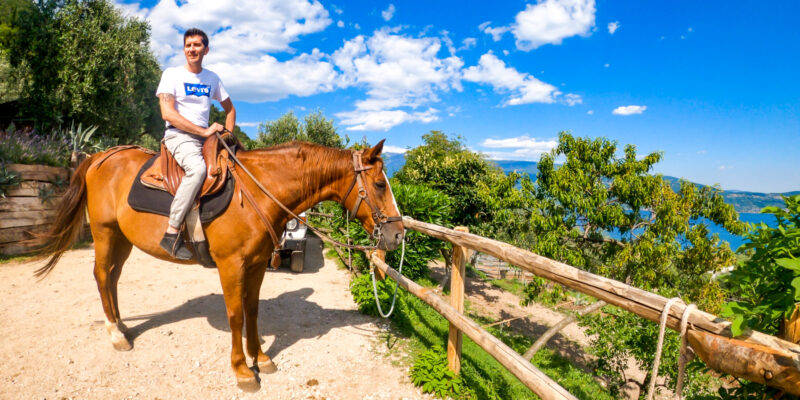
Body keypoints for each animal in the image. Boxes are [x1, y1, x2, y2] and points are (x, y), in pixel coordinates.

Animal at [35, 141, 404, 390]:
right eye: (380, 184)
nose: (398, 234)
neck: (259, 192)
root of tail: (99, 157)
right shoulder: (231, 265)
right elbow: (236, 315)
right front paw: (242, 369)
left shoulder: (256, 264)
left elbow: (253, 310)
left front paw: (261, 358)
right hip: (104, 232)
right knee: (101, 276)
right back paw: (115, 334)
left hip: (122, 238)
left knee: (112, 279)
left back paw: (122, 326)